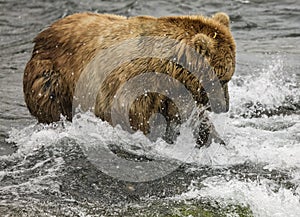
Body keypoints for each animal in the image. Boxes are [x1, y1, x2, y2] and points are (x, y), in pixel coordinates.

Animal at [23, 11, 236, 144]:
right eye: (221, 79)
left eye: (228, 77)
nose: (223, 106)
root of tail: (42, 34)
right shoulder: (135, 89)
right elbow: (138, 122)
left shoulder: (174, 93)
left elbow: (191, 119)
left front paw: (217, 141)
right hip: (52, 79)